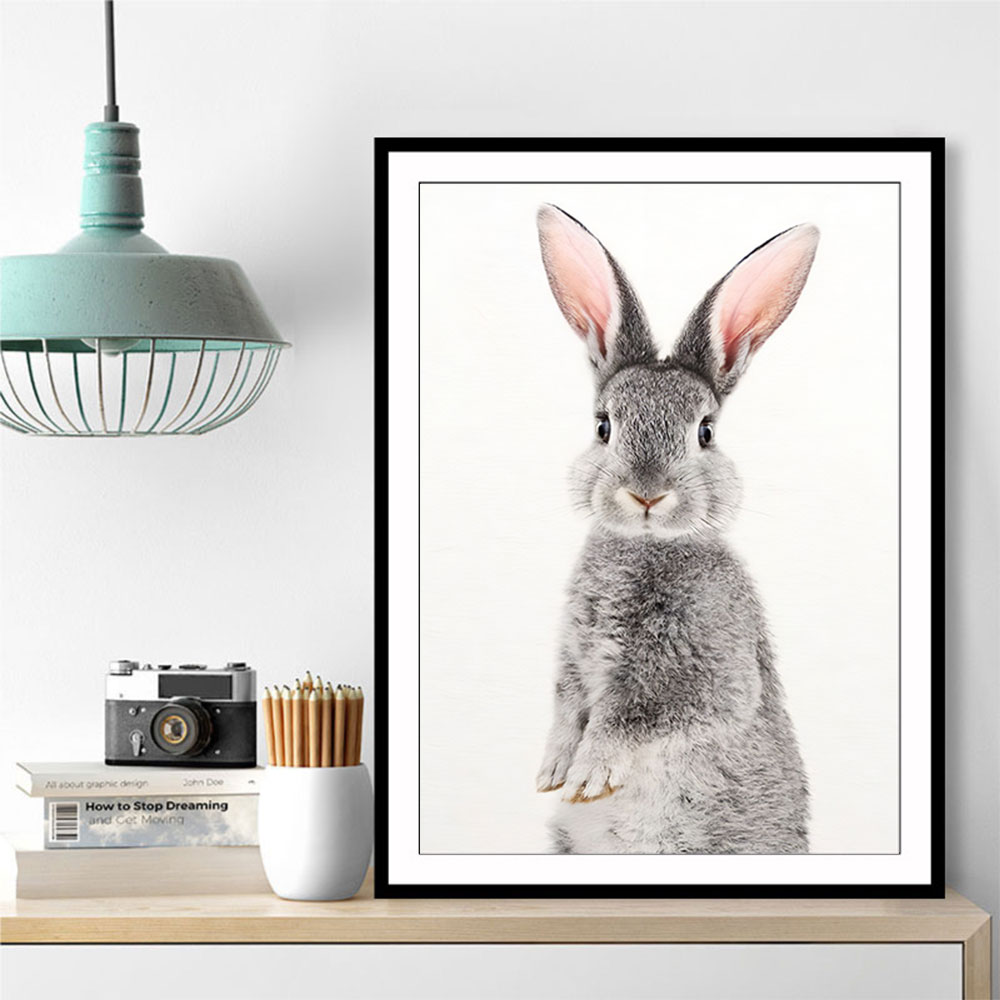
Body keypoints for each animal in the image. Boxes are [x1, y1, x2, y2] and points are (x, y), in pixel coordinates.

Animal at [534, 205, 817, 855]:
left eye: (706, 432)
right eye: (603, 425)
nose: (646, 492)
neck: (643, 547)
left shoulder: (706, 675)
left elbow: (634, 716)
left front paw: (587, 773)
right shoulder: (571, 659)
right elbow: (567, 706)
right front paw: (554, 770)